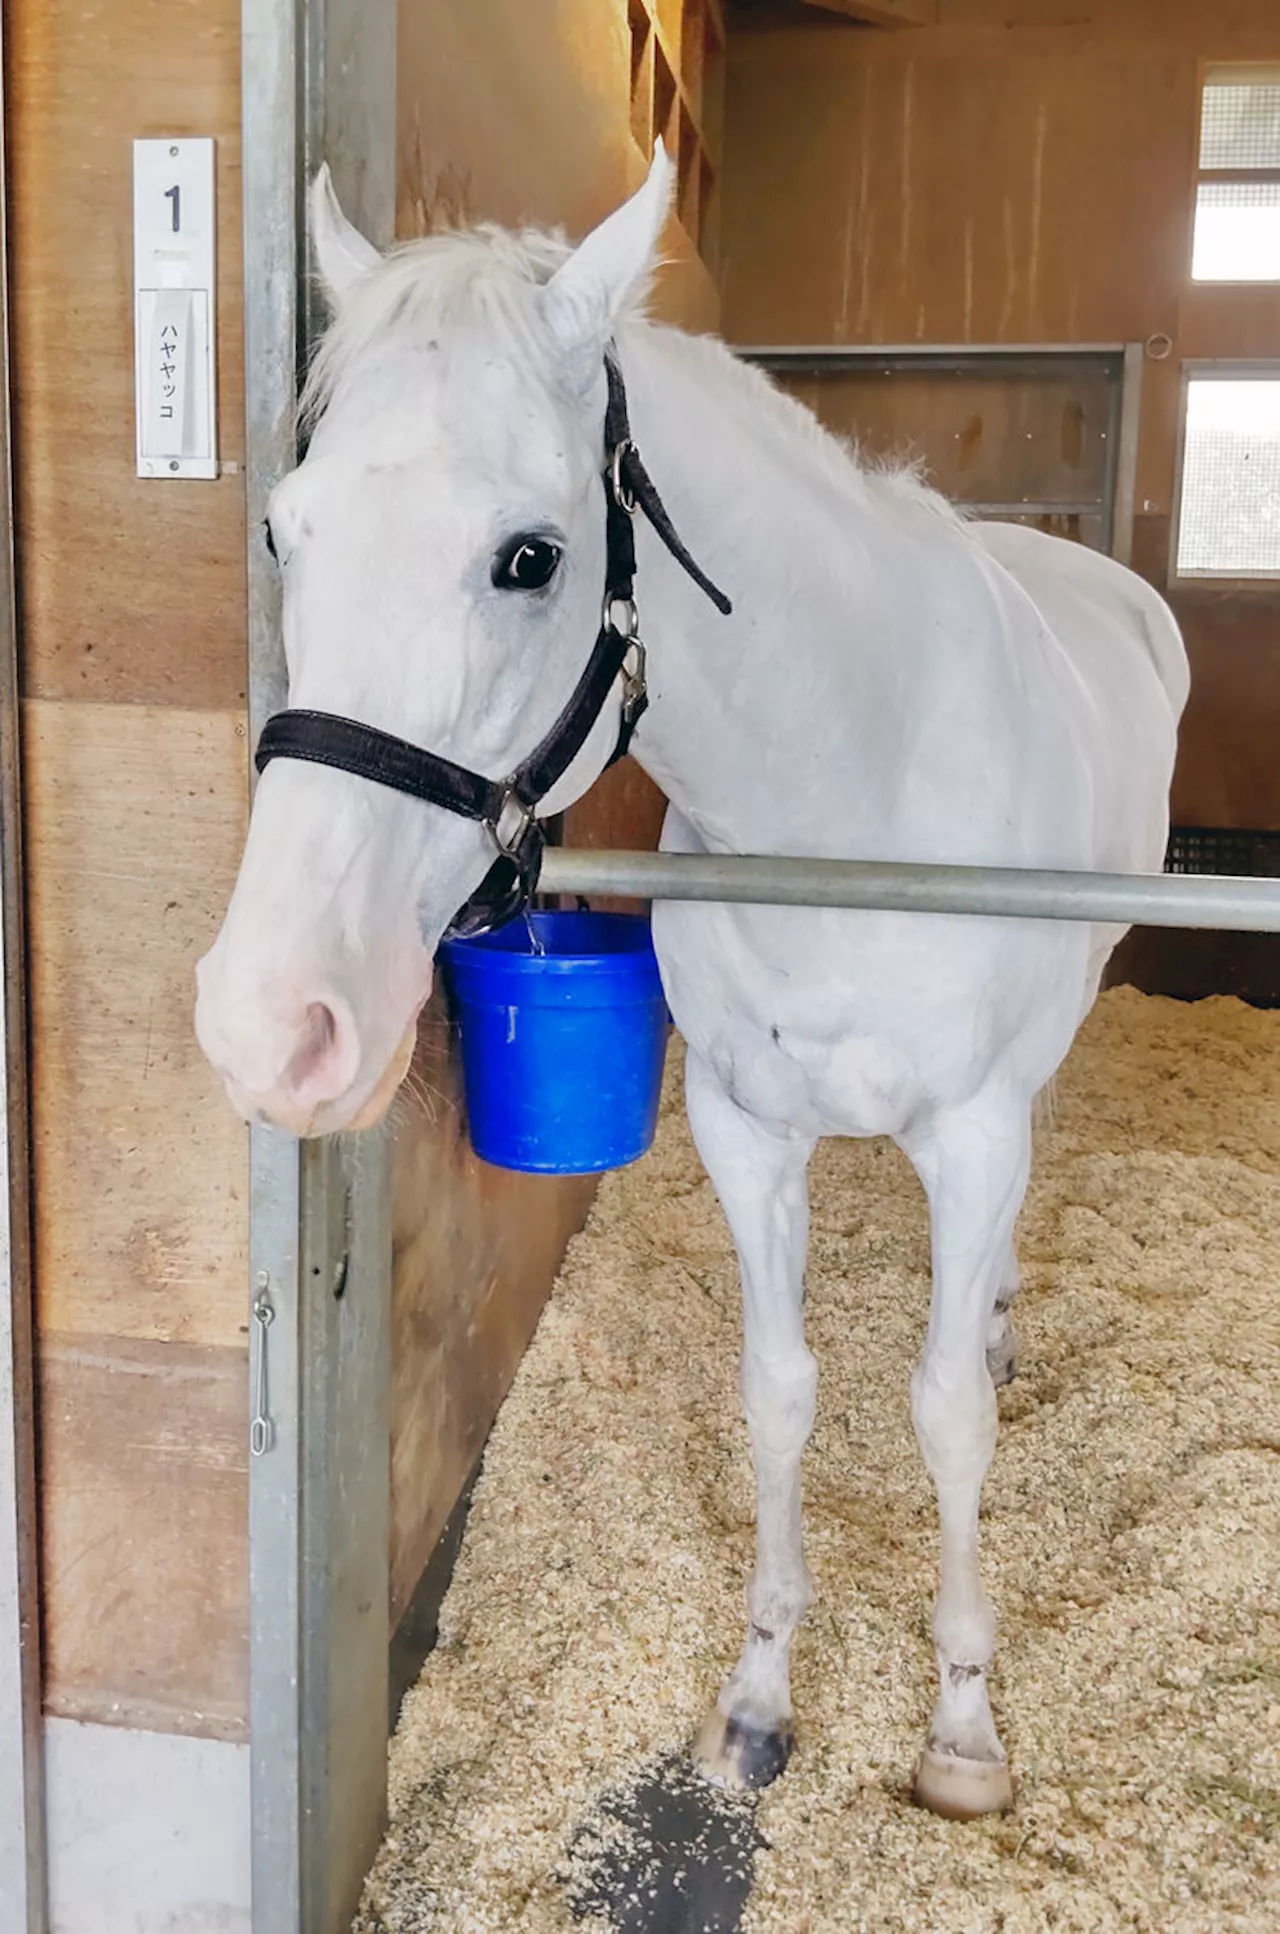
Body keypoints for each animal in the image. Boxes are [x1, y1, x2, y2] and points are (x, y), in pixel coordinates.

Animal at [198, 154, 1191, 1825]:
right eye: (286, 532)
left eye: (530, 556)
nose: (274, 1021)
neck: (850, 800)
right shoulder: (743, 1131)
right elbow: (780, 1391)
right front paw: (759, 1693)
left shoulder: (971, 1133)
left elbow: (945, 1412)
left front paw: (963, 1726)